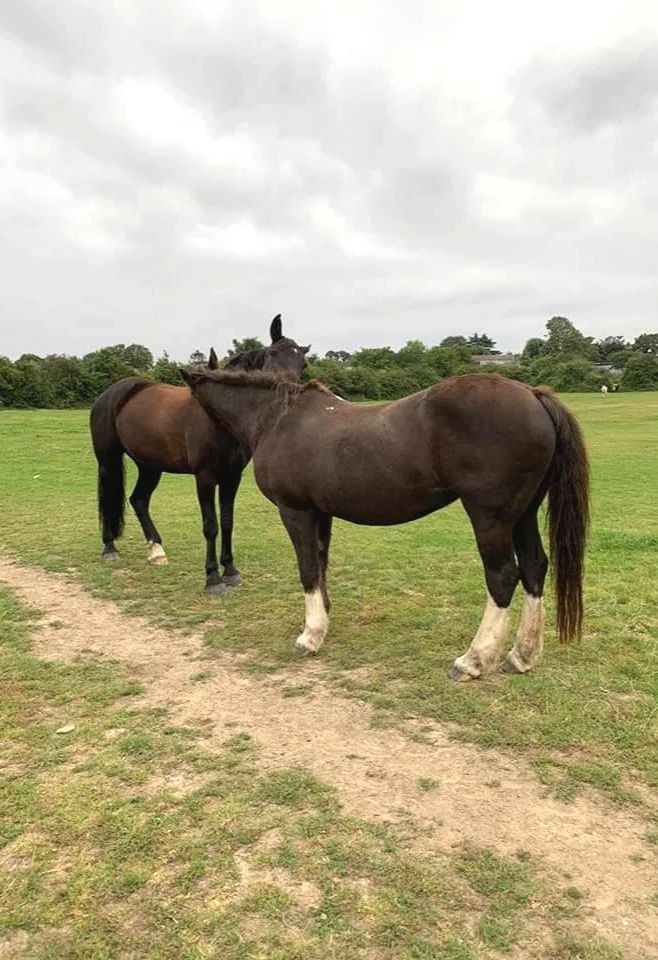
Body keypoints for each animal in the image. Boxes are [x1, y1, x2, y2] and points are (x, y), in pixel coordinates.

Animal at [90, 315, 310, 595]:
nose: (288, 395)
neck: (218, 419)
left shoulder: (232, 477)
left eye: (303, 364)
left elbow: (227, 522)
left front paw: (231, 571)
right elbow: (211, 526)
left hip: (150, 466)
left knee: (138, 500)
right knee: (109, 496)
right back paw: (109, 547)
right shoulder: (204, 477)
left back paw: (156, 550)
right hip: (108, 460)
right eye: (272, 354)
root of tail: (113, 393)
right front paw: (213, 578)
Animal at [179, 368, 590, 678]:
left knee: (503, 577)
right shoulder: (320, 512)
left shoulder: (295, 511)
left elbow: (308, 570)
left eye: (191, 403)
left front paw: (309, 637)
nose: (202, 457)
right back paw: (522, 656)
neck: (277, 419)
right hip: (523, 514)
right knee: (534, 568)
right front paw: (323, 621)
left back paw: (473, 660)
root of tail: (532, 395)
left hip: (490, 518)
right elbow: (322, 564)